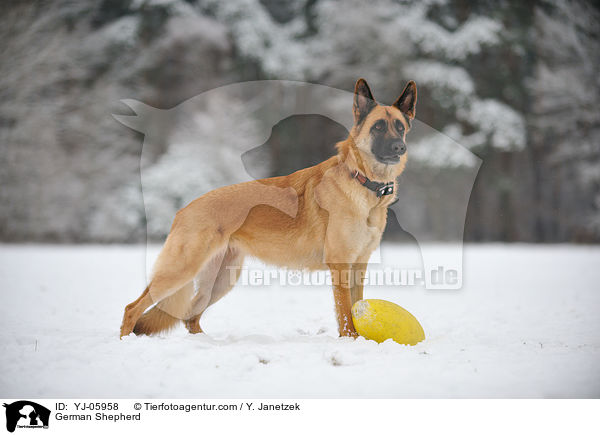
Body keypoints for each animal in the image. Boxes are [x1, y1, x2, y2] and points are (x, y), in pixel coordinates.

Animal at [119, 80, 414, 342]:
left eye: (400, 128)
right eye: (378, 127)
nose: (400, 147)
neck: (361, 180)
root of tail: (184, 209)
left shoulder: (358, 265)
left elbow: (356, 305)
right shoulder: (340, 264)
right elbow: (345, 312)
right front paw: (351, 340)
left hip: (220, 281)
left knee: (190, 317)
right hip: (181, 270)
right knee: (132, 308)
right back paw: (125, 341)